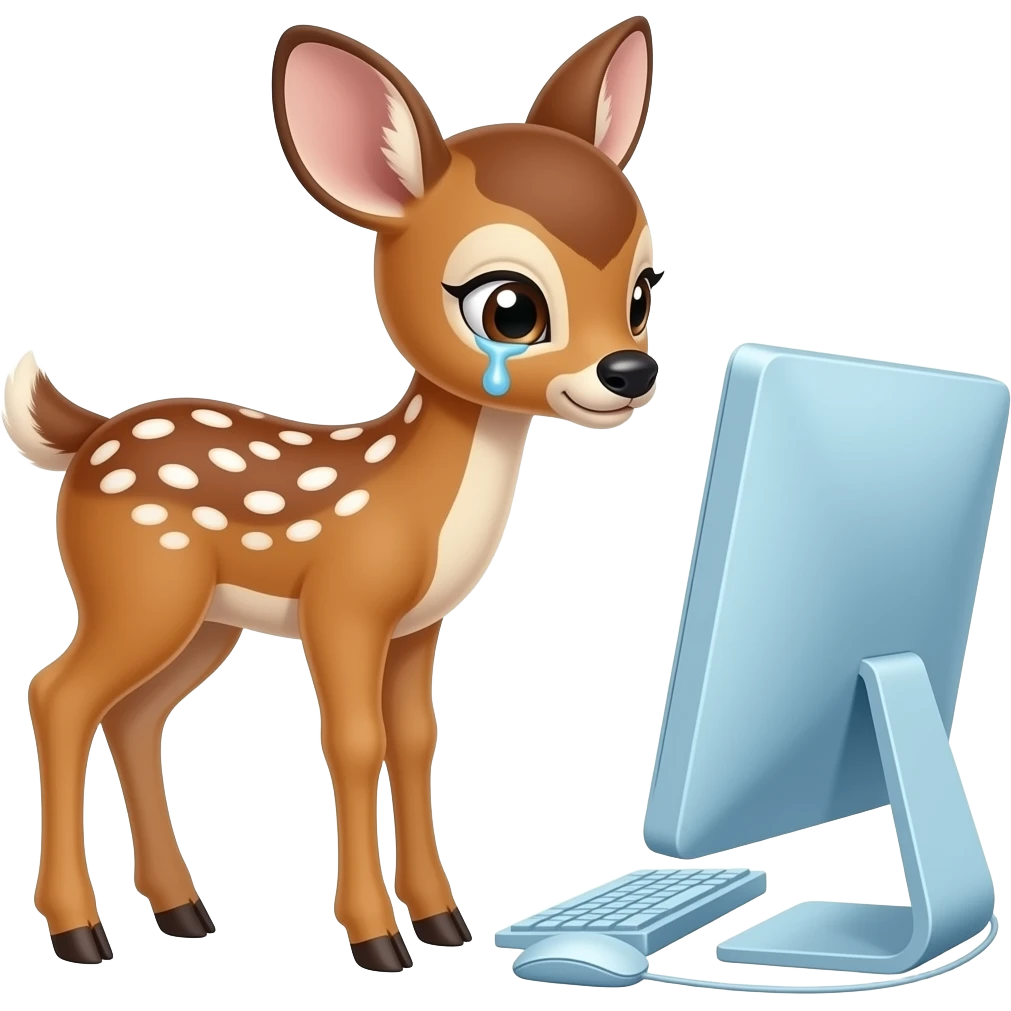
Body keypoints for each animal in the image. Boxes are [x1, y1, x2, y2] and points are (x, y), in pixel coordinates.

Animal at [5, 17, 659, 971]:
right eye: (509, 307)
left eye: (643, 291)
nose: (629, 372)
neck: (410, 498)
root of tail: (87, 439)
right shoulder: (342, 603)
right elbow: (354, 745)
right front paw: (377, 938)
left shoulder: (419, 624)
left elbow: (415, 743)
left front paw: (444, 921)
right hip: (138, 588)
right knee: (56, 694)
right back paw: (79, 930)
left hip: (206, 619)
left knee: (134, 716)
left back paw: (183, 911)